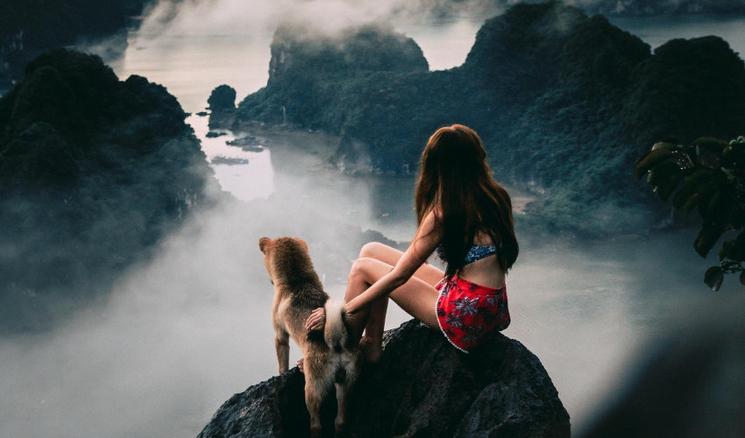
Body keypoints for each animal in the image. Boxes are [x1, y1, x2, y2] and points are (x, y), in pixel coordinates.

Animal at [258, 238, 360, 436]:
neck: (297, 279)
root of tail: (336, 343)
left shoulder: (280, 336)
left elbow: (282, 362)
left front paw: (281, 373)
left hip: (313, 388)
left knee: (316, 422)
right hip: (346, 383)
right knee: (340, 420)